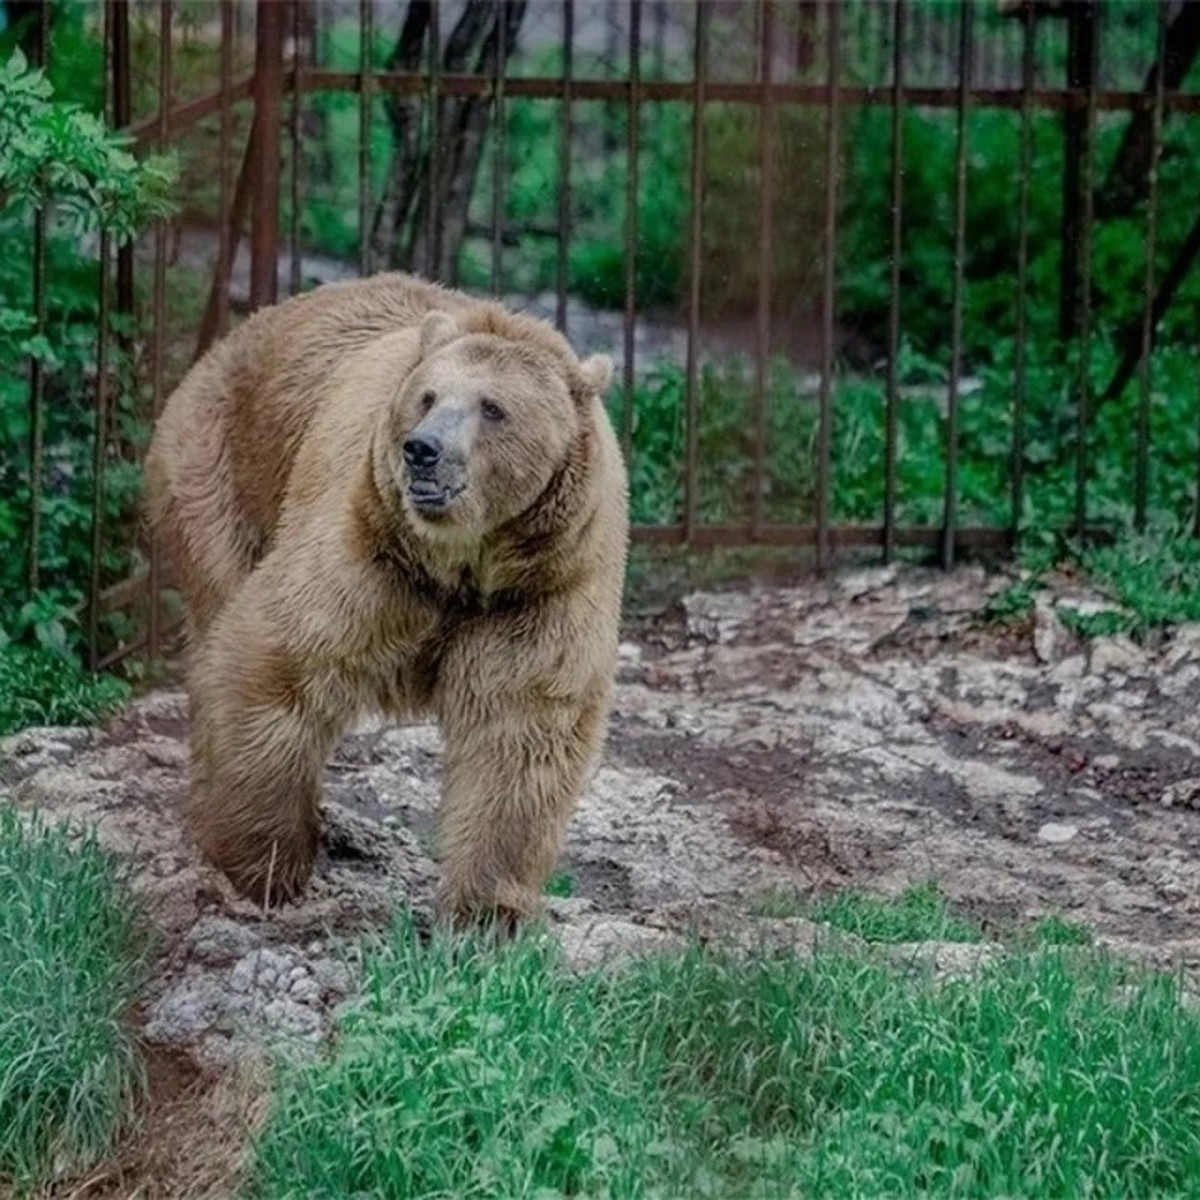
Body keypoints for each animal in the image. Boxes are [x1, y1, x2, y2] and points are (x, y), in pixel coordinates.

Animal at [146, 272, 633, 921]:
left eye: (493, 407)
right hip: (220, 477)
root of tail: (227, 342)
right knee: (215, 625)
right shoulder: (371, 548)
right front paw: (266, 868)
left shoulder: (541, 588)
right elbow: (276, 659)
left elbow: (520, 728)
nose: (422, 450)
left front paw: (485, 913)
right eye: (427, 396)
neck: (462, 564)